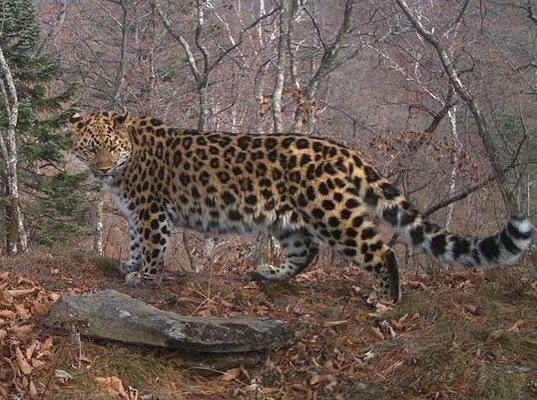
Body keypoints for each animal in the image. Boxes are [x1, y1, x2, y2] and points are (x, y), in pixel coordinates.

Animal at [68, 111, 532, 302]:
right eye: (90, 149)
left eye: (111, 147)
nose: (102, 169)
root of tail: (346, 150)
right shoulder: (136, 211)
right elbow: (134, 240)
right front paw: (130, 265)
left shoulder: (151, 209)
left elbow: (151, 243)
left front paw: (145, 278)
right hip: (289, 219)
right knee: (306, 251)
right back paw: (270, 273)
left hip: (333, 212)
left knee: (380, 249)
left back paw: (385, 297)